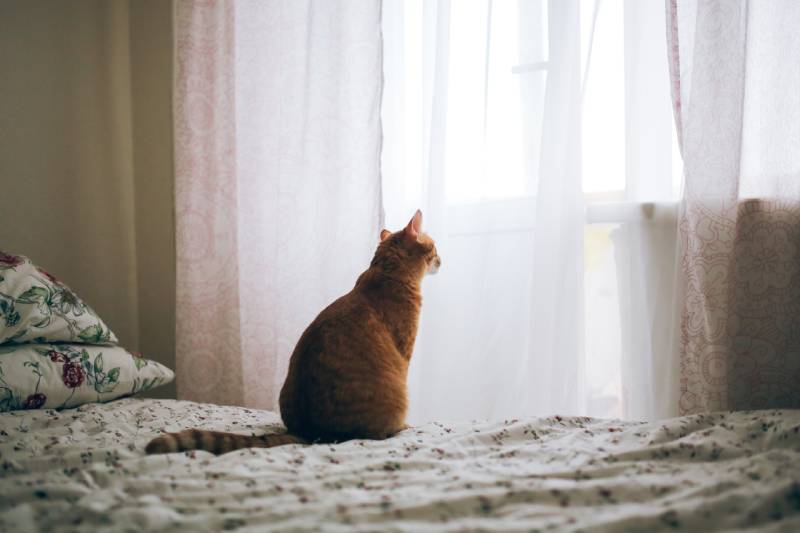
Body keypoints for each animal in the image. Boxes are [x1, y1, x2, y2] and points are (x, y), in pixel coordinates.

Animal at [147, 210, 440, 456]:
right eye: (435, 247)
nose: (441, 260)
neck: (386, 273)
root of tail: (311, 432)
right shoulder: (404, 352)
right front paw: (408, 425)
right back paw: (398, 428)